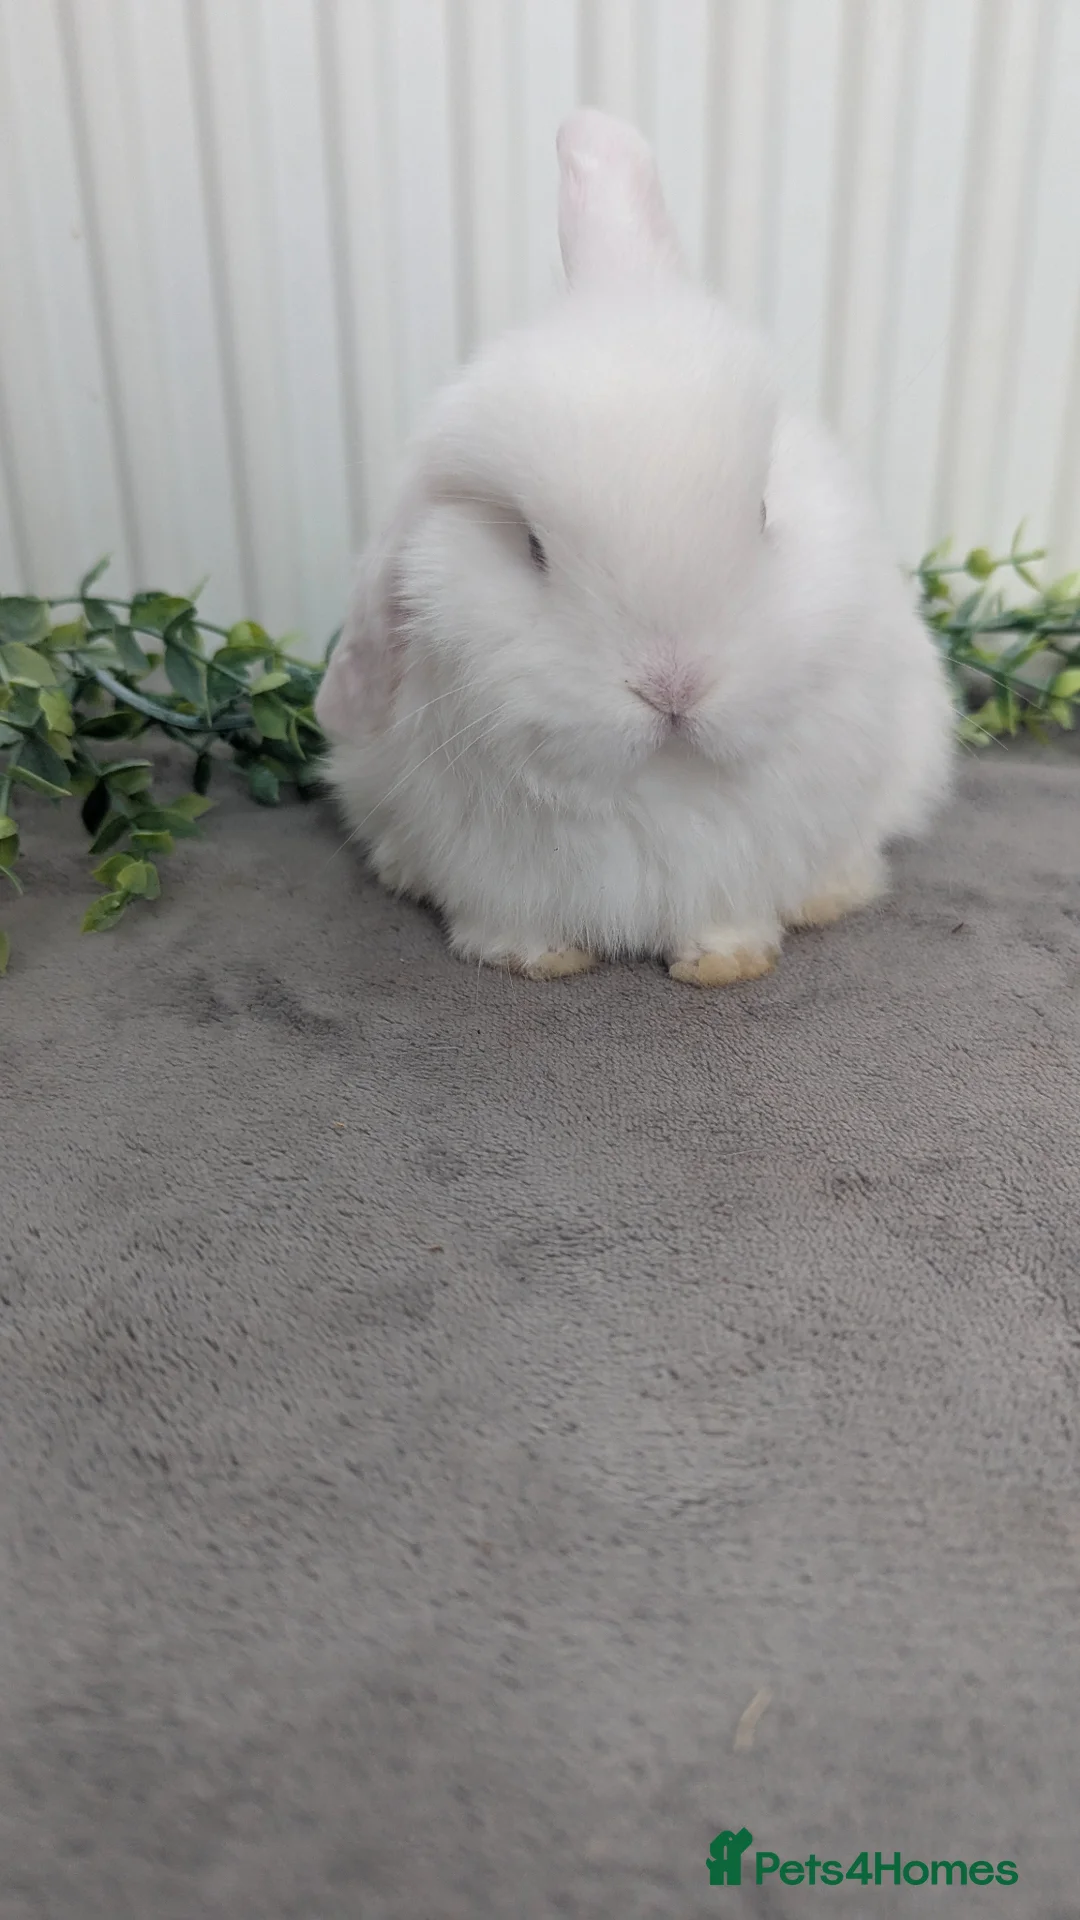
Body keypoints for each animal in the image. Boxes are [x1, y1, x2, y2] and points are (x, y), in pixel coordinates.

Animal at [315, 107, 954, 986]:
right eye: (533, 546)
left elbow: (729, 915)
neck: (660, 780)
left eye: (761, 511)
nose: (673, 688)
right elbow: (511, 921)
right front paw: (540, 958)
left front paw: (725, 963)